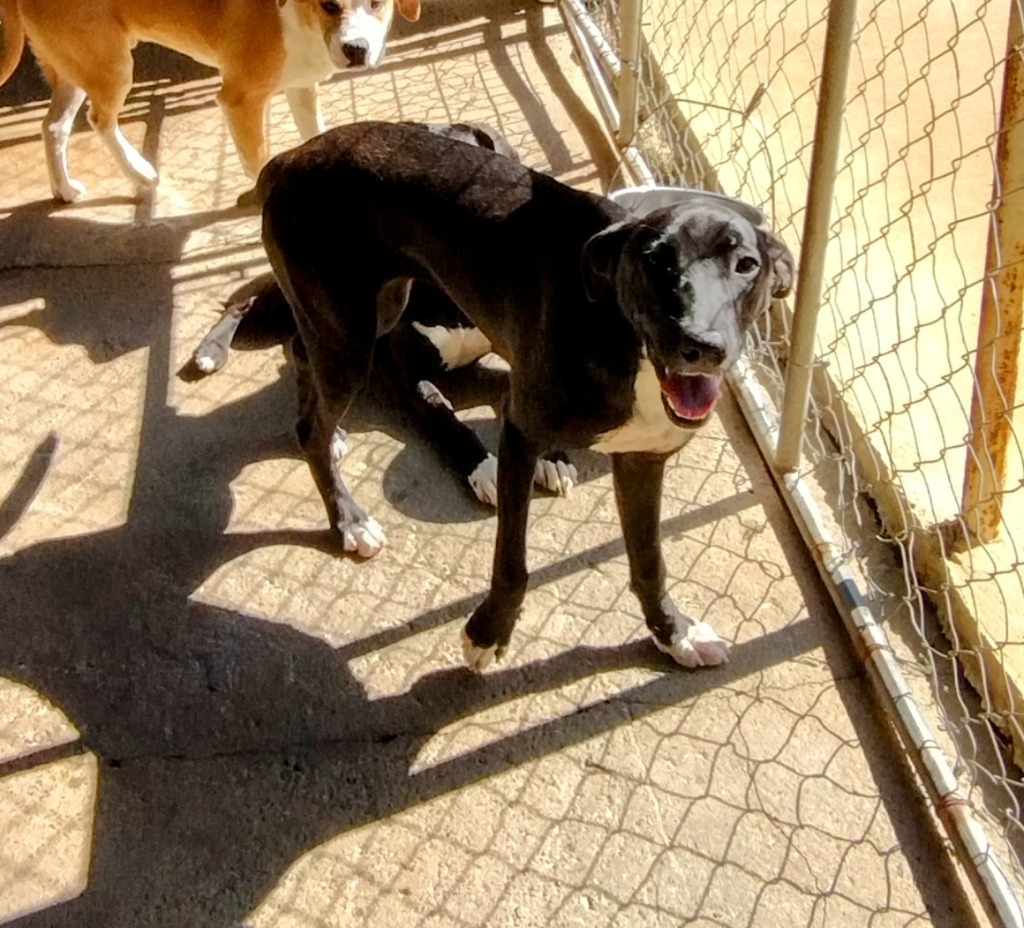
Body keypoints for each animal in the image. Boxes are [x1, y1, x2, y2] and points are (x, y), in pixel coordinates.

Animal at [0, 0, 419, 200]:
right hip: (111, 65)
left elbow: (315, 138)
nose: (356, 49)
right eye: (329, 5)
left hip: (76, 66)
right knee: (100, 119)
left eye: (377, 3)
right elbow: (260, 164)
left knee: (53, 126)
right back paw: (140, 172)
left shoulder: (302, 88)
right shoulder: (240, 101)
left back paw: (65, 190)